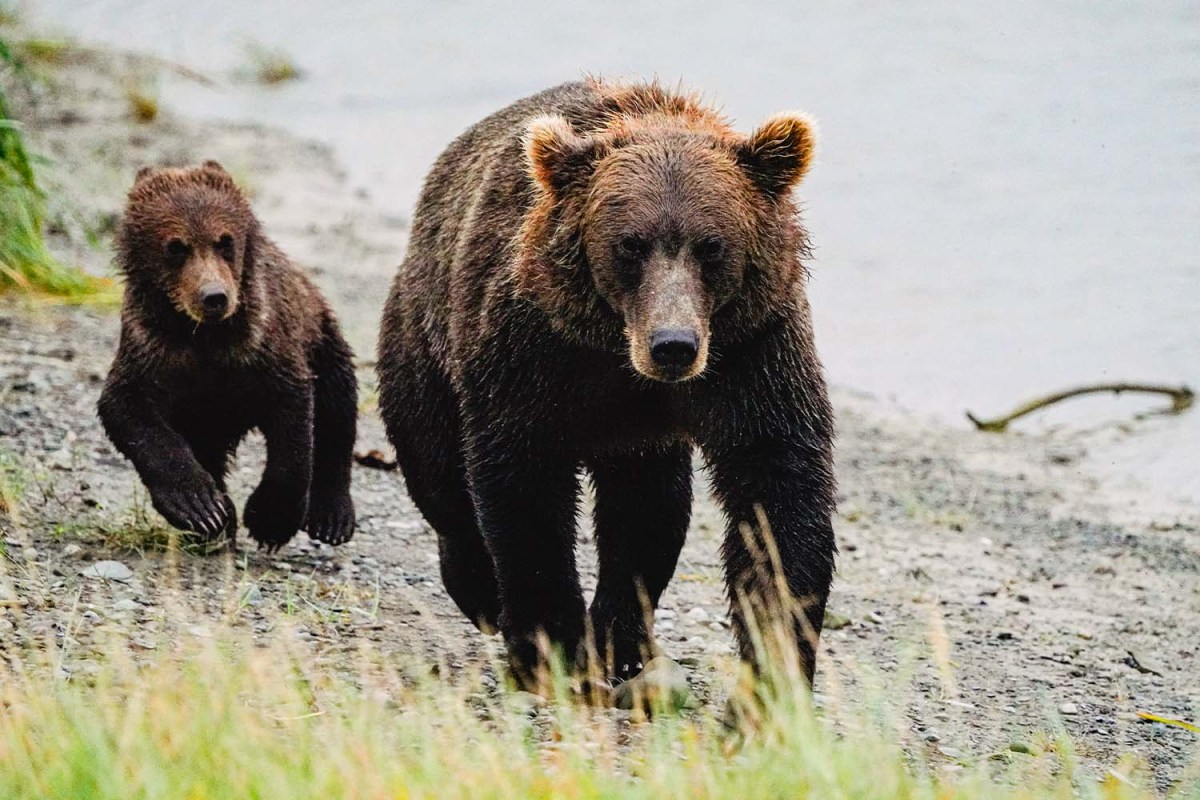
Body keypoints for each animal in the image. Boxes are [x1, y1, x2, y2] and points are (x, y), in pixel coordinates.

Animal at [98, 161, 358, 551]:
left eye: (225, 241)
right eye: (176, 247)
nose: (214, 297)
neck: (206, 338)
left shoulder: (264, 349)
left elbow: (294, 424)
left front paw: (270, 519)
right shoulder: (153, 350)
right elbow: (128, 411)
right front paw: (202, 508)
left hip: (322, 336)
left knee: (337, 404)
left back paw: (332, 517)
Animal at [377, 79, 835, 689]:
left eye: (712, 245)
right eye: (630, 244)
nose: (673, 344)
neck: (620, 354)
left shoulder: (751, 350)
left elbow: (776, 486)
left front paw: (771, 670)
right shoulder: (532, 345)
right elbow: (525, 484)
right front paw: (547, 643)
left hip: (641, 437)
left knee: (648, 509)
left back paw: (622, 639)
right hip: (425, 332)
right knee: (436, 467)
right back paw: (479, 589)